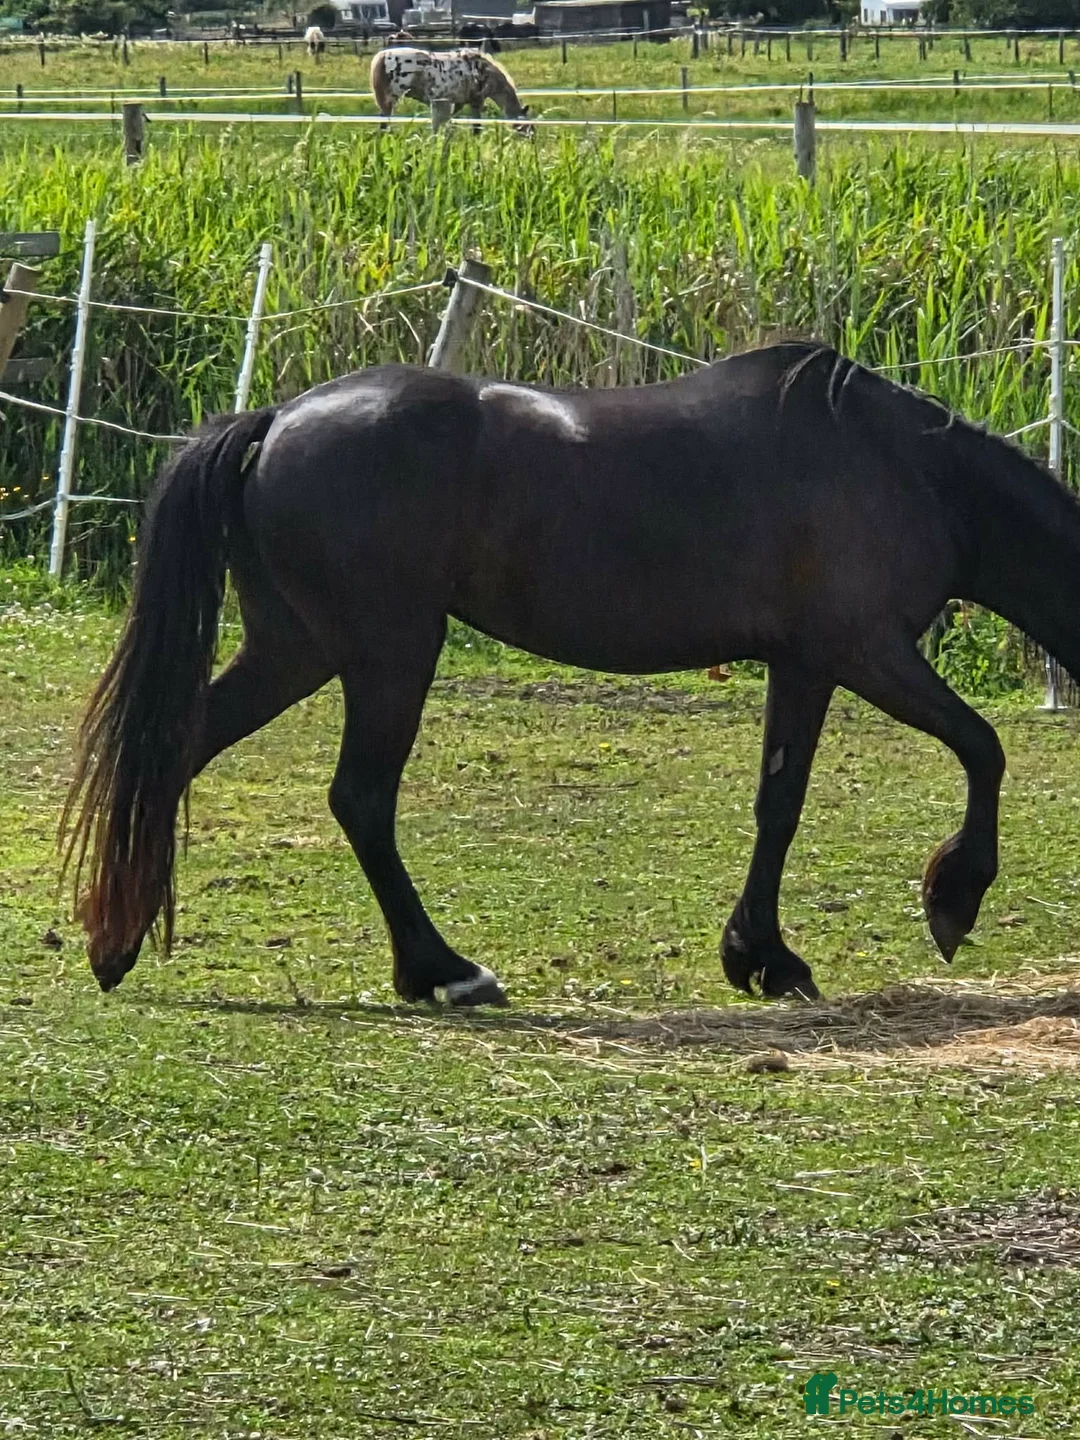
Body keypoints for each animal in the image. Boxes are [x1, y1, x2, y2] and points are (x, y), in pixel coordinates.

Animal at [63, 344, 1080, 1008]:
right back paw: (444, 972)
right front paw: (952, 897)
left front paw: (761, 957)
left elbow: (779, 806)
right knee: (360, 799)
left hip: (294, 649)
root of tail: (276, 420)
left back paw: (116, 941)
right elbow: (983, 747)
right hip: (390, 653)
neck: (906, 467)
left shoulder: (805, 666)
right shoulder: (867, 650)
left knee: (177, 749)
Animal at [369, 46, 531, 131]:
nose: (532, 139)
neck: (484, 72)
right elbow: (476, 127)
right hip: (391, 99)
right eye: (527, 126)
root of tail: (384, 55)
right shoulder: (476, 102)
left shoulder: (458, 103)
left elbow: (449, 121)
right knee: (384, 123)